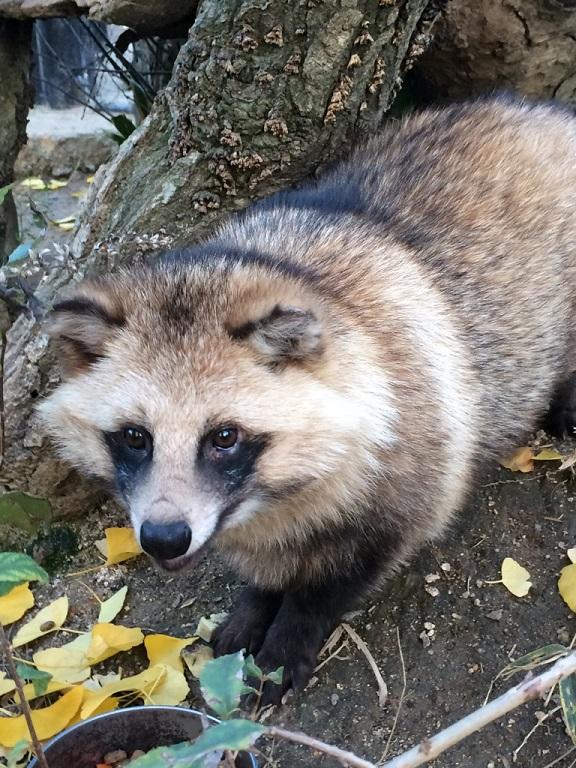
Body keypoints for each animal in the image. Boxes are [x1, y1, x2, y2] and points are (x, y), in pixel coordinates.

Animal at [39, 99, 576, 704]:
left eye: (224, 436)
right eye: (134, 436)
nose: (164, 538)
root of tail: (544, 110)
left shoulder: (418, 456)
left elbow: (341, 574)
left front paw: (293, 627)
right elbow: (263, 566)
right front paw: (256, 600)